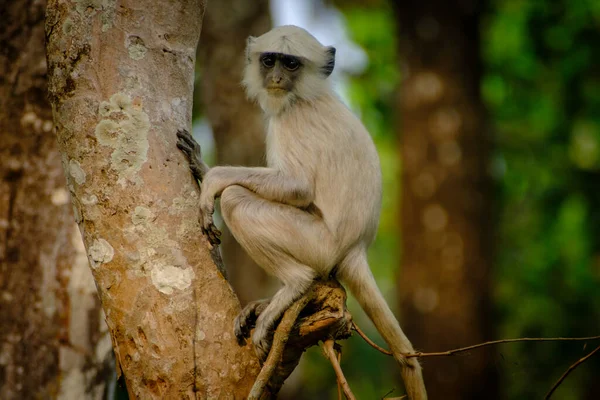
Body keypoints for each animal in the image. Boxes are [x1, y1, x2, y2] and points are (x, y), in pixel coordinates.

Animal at [177, 25, 426, 400]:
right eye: (270, 61)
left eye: (291, 63)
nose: (277, 77)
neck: (308, 96)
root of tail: (356, 249)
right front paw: (200, 166)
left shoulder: (293, 120)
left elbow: (298, 188)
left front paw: (213, 180)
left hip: (316, 244)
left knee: (235, 199)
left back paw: (294, 285)